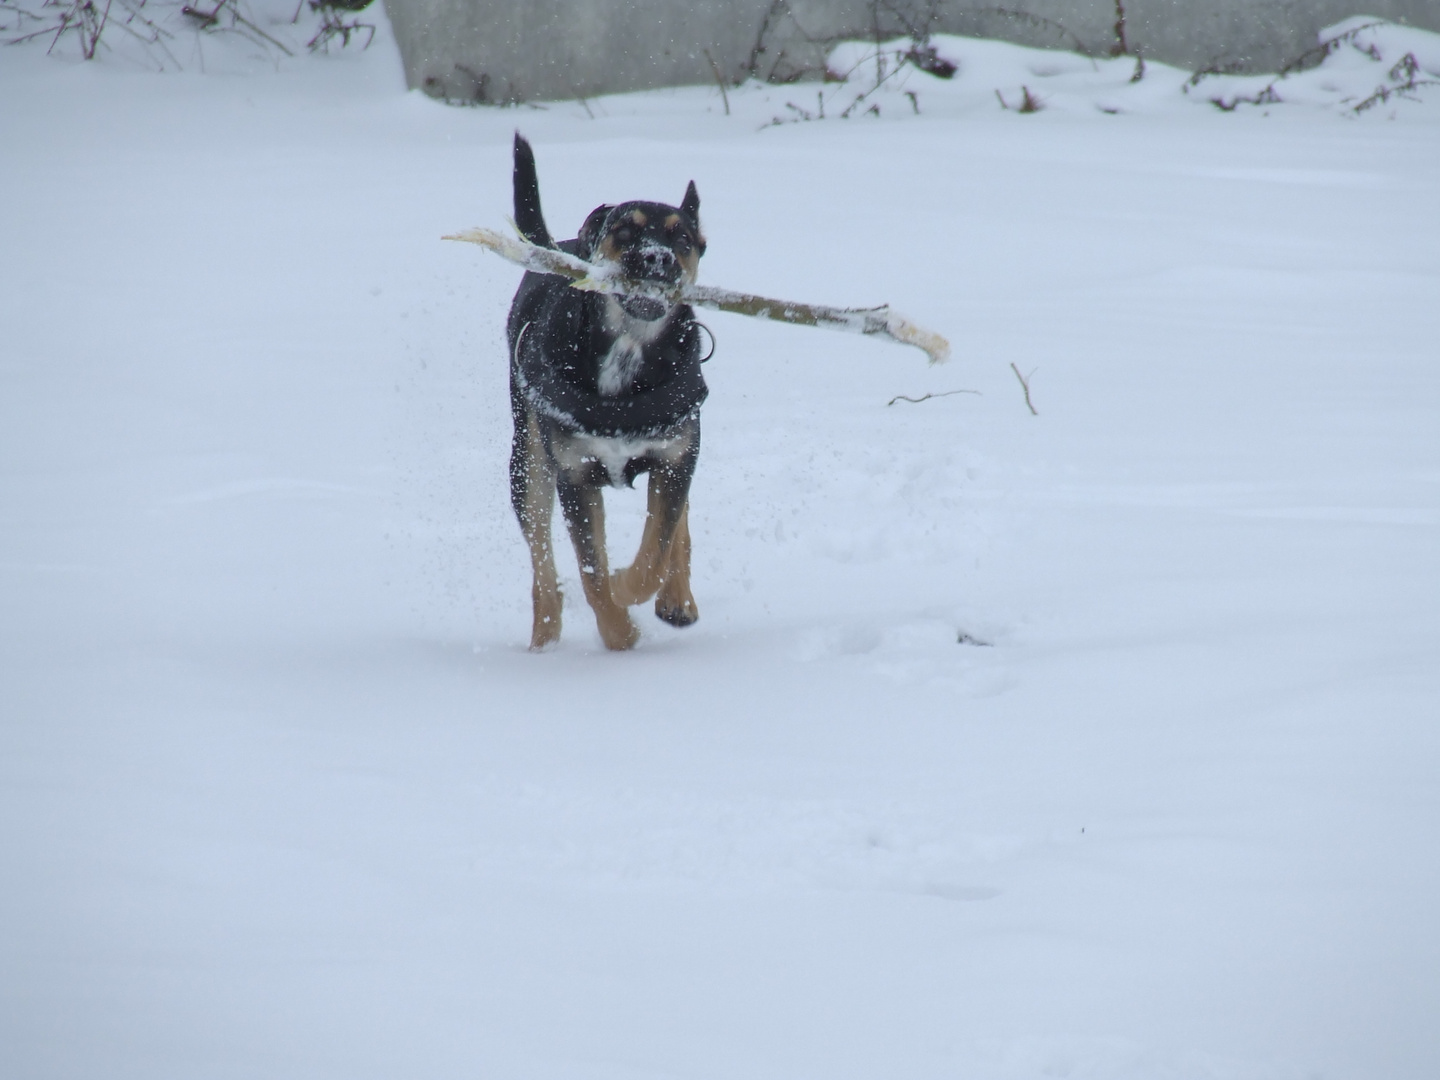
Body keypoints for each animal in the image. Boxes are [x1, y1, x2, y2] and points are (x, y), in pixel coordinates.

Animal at [504, 131, 711, 648]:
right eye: (625, 231)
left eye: (682, 239)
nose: (657, 258)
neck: (628, 346)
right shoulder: (574, 474)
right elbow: (590, 572)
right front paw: (620, 634)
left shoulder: (676, 456)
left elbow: (655, 551)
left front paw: (630, 587)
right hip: (527, 463)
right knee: (542, 565)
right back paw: (544, 640)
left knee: (679, 531)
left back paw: (678, 598)